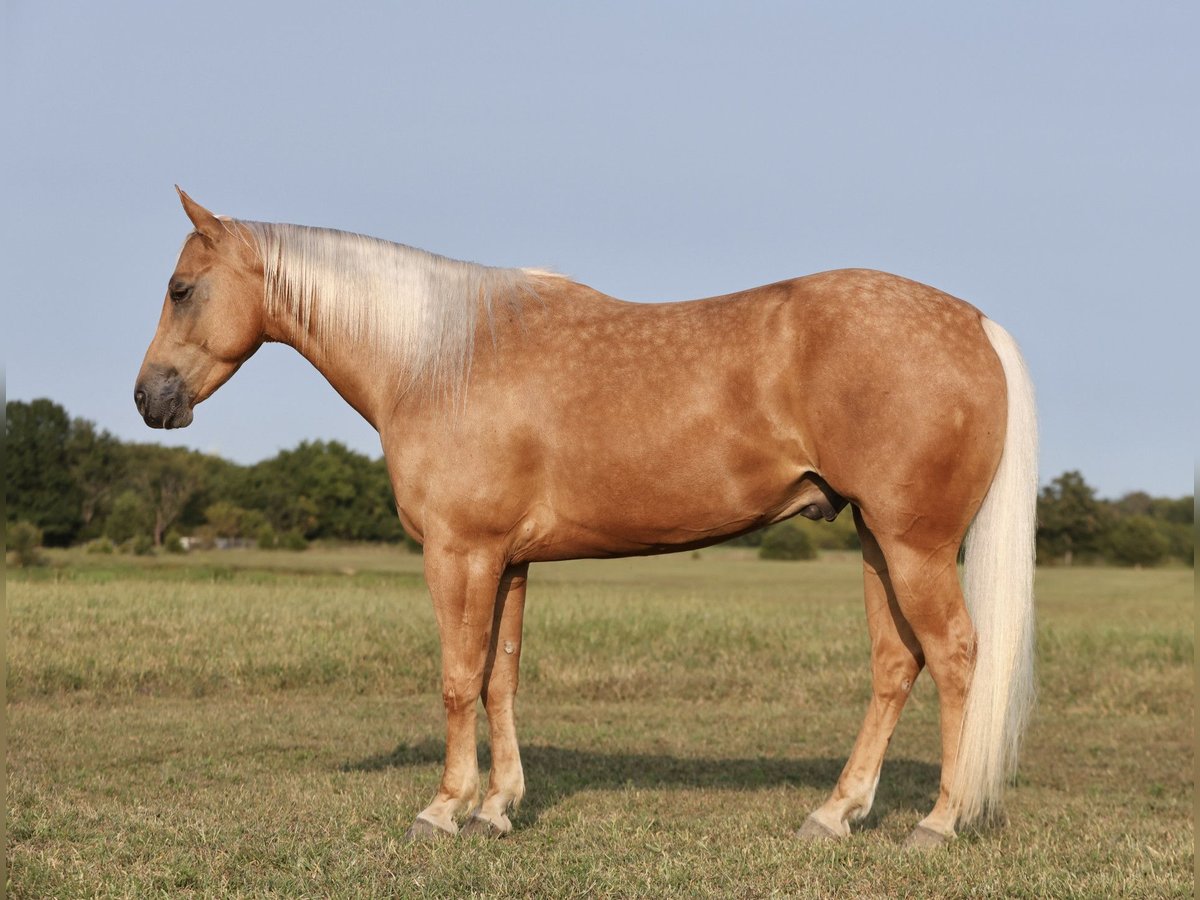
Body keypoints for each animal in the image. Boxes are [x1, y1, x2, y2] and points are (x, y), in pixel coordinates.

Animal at [136, 187, 1036, 849]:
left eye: (182, 290)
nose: (150, 399)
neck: (440, 360)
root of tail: (976, 324)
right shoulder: (508, 559)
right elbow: (500, 677)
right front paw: (497, 809)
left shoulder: (459, 554)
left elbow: (457, 679)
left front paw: (443, 809)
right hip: (877, 540)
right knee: (895, 664)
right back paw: (834, 814)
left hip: (915, 546)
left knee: (955, 657)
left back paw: (937, 823)